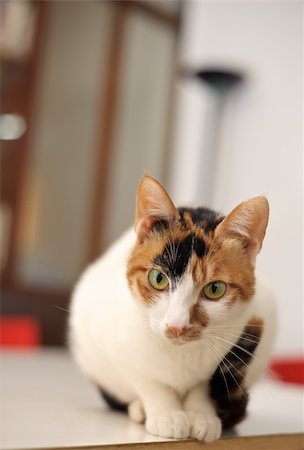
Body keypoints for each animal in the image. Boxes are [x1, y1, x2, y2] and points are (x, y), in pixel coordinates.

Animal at [69, 175, 276, 442]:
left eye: (215, 289)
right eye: (158, 279)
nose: (177, 326)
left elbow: (202, 387)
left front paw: (201, 415)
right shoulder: (108, 334)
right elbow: (147, 380)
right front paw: (167, 414)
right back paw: (138, 409)